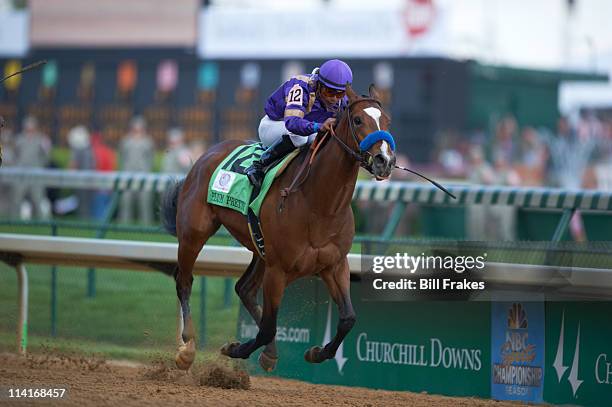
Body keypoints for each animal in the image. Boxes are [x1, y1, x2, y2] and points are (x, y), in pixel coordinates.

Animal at [160, 85, 394, 372]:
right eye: (359, 120)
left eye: (387, 121)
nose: (385, 160)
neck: (319, 204)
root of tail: (207, 154)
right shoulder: (279, 270)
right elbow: (268, 328)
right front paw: (235, 348)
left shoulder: (334, 264)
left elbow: (348, 318)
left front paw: (317, 352)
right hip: (194, 233)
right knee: (184, 280)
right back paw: (187, 348)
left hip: (260, 248)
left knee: (244, 289)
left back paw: (269, 353)